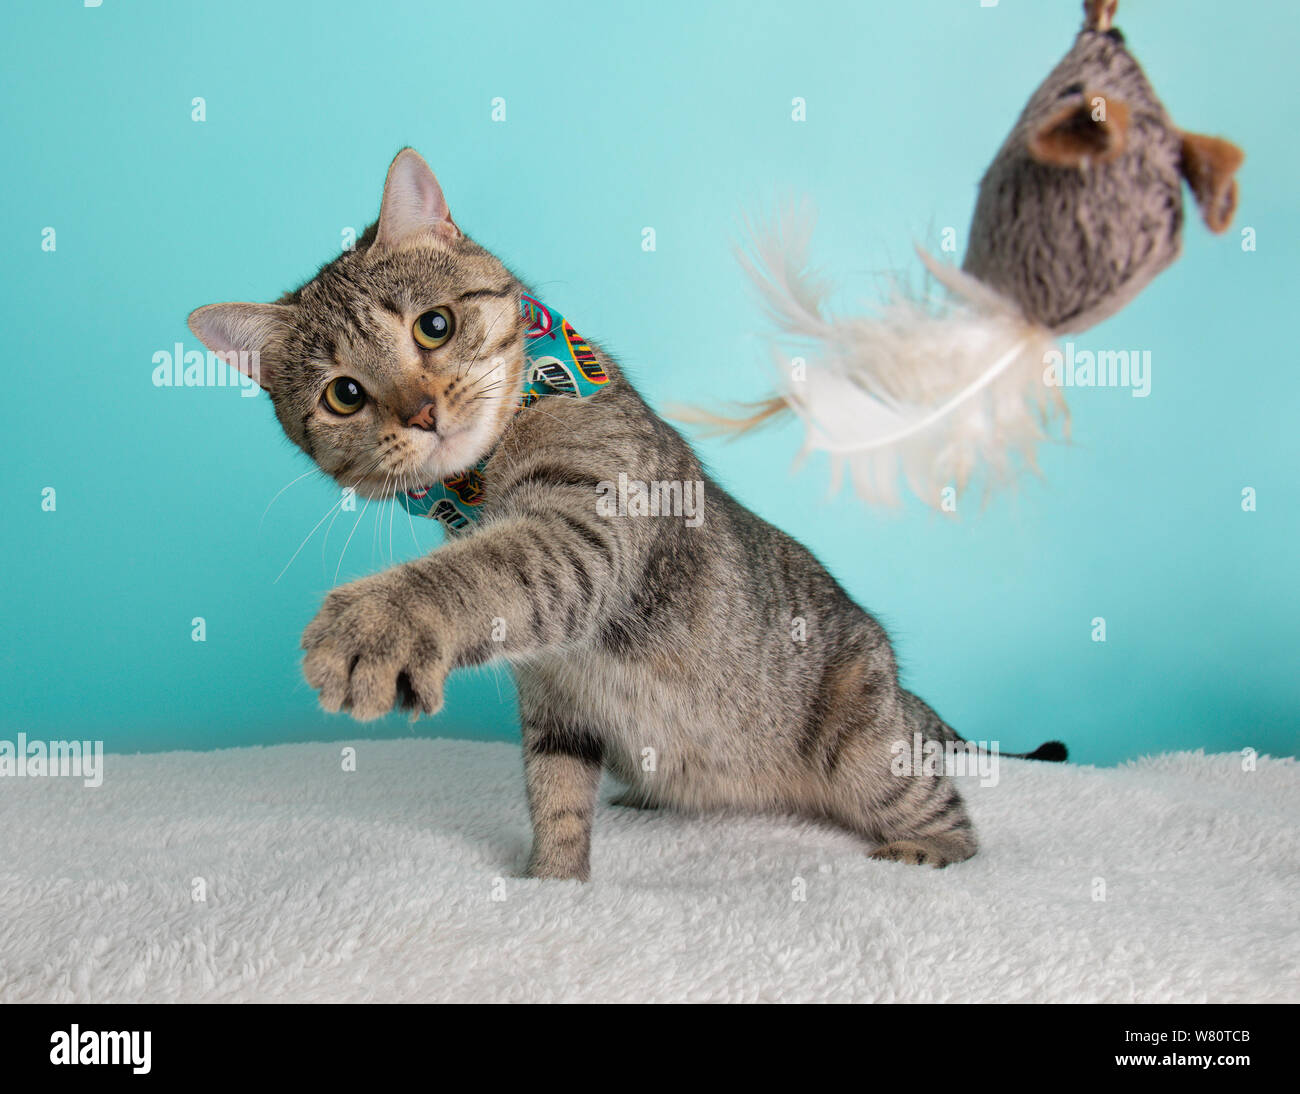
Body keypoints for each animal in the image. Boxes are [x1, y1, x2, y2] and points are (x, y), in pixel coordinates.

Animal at [192, 149, 1066, 878]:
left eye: (433, 325)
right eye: (344, 394)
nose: (421, 413)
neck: (481, 489)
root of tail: (897, 685)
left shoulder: (582, 534)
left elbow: (472, 573)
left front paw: (372, 623)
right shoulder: (555, 695)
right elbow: (555, 793)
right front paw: (555, 882)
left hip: (870, 754)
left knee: (950, 813)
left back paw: (925, 850)